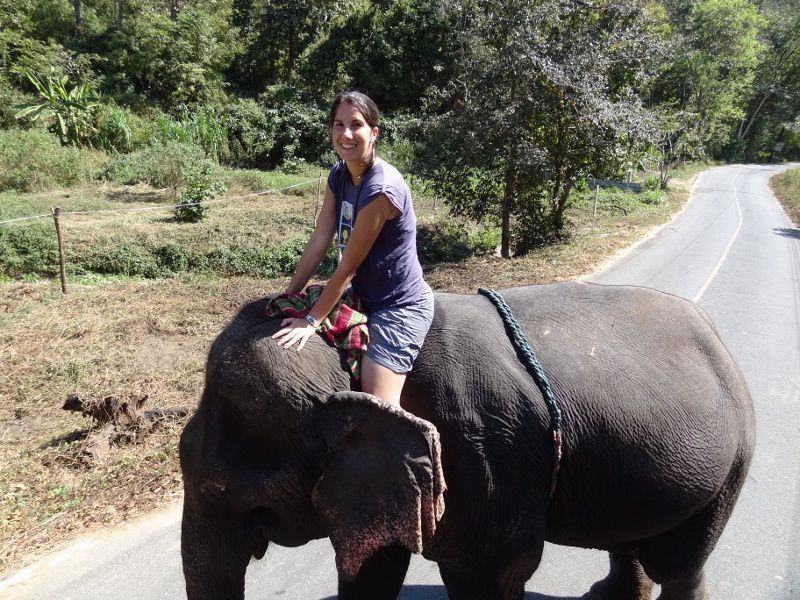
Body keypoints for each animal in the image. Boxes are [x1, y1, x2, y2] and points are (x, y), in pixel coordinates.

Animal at [180, 282, 756, 600]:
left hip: (731, 465)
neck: (352, 348)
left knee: (678, 565)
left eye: (218, 487)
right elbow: (377, 567)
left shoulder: (484, 455)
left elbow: (488, 573)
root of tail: (720, 339)